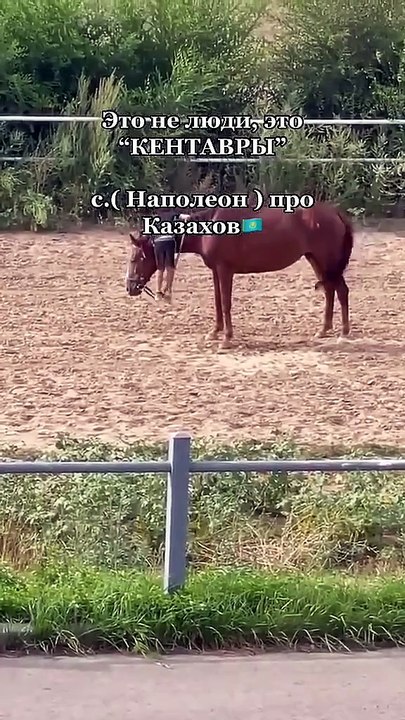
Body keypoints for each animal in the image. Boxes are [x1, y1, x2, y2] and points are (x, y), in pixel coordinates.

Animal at [125, 202, 354, 349]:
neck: (212, 228)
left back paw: (343, 334)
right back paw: (323, 330)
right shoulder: (216, 271)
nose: (130, 287)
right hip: (316, 260)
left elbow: (226, 303)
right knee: (330, 290)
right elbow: (218, 302)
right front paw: (215, 332)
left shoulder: (225, 270)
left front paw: (226, 339)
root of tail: (335, 213)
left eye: (135, 259)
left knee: (341, 291)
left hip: (327, 261)